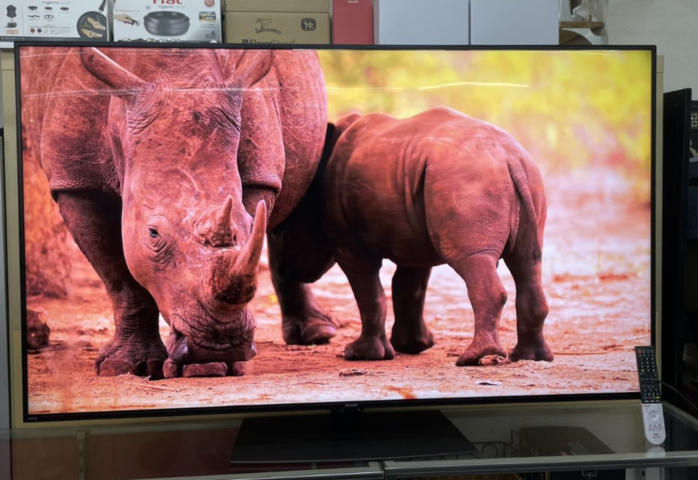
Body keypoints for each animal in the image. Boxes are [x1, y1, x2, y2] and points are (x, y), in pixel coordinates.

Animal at [20, 47, 337, 378]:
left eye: (251, 225)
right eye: (153, 233)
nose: (220, 342)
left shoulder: (260, 171)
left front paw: (208, 366)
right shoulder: (76, 181)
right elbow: (119, 277)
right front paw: (126, 367)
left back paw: (317, 334)